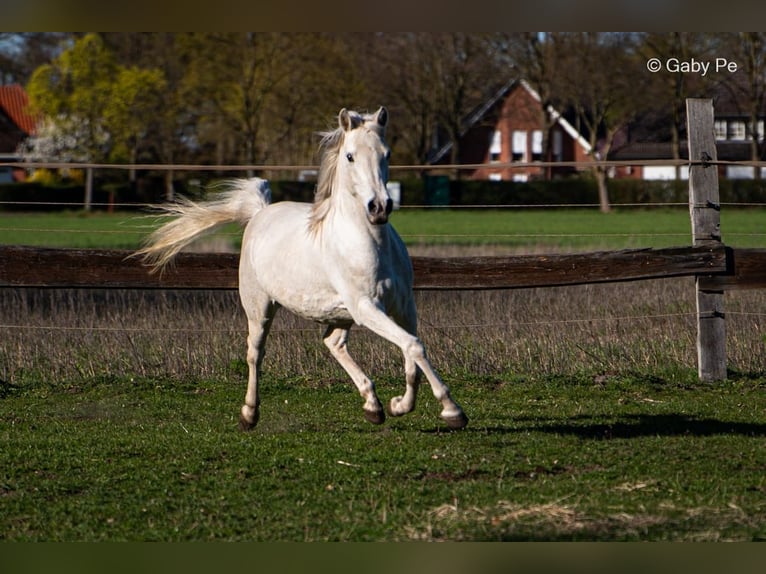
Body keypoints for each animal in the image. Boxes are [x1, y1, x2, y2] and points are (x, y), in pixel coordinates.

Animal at [136, 107, 468, 431]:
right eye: (350, 156)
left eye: (387, 154)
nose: (380, 207)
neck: (371, 242)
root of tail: (259, 213)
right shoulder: (366, 307)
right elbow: (413, 346)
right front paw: (452, 411)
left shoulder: (403, 305)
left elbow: (412, 353)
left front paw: (400, 405)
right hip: (260, 307)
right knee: (255, 353)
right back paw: (249, 414)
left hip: (339, 313)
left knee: (333, 343)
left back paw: (373, 406)